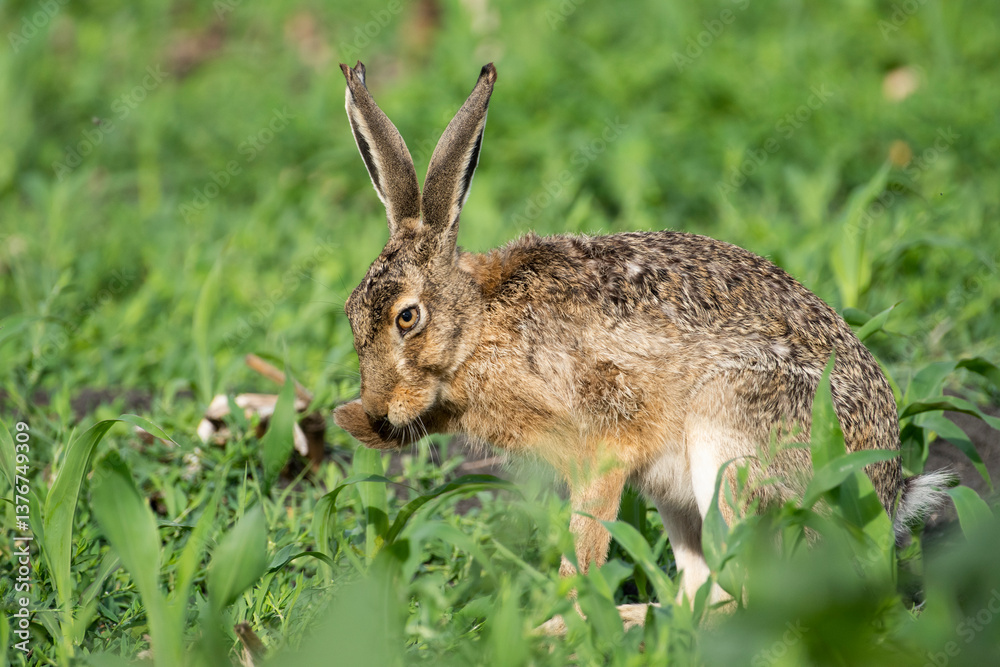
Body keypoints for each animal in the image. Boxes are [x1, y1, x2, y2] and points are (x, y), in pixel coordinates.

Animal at [332, 61, 952, 611]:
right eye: (351, 312)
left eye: (407, 318)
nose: (377, 408)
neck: (478, 323)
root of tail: (885, 495)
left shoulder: (604, 445)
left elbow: (585, 545)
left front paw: (566, 616)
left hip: (732, 442)